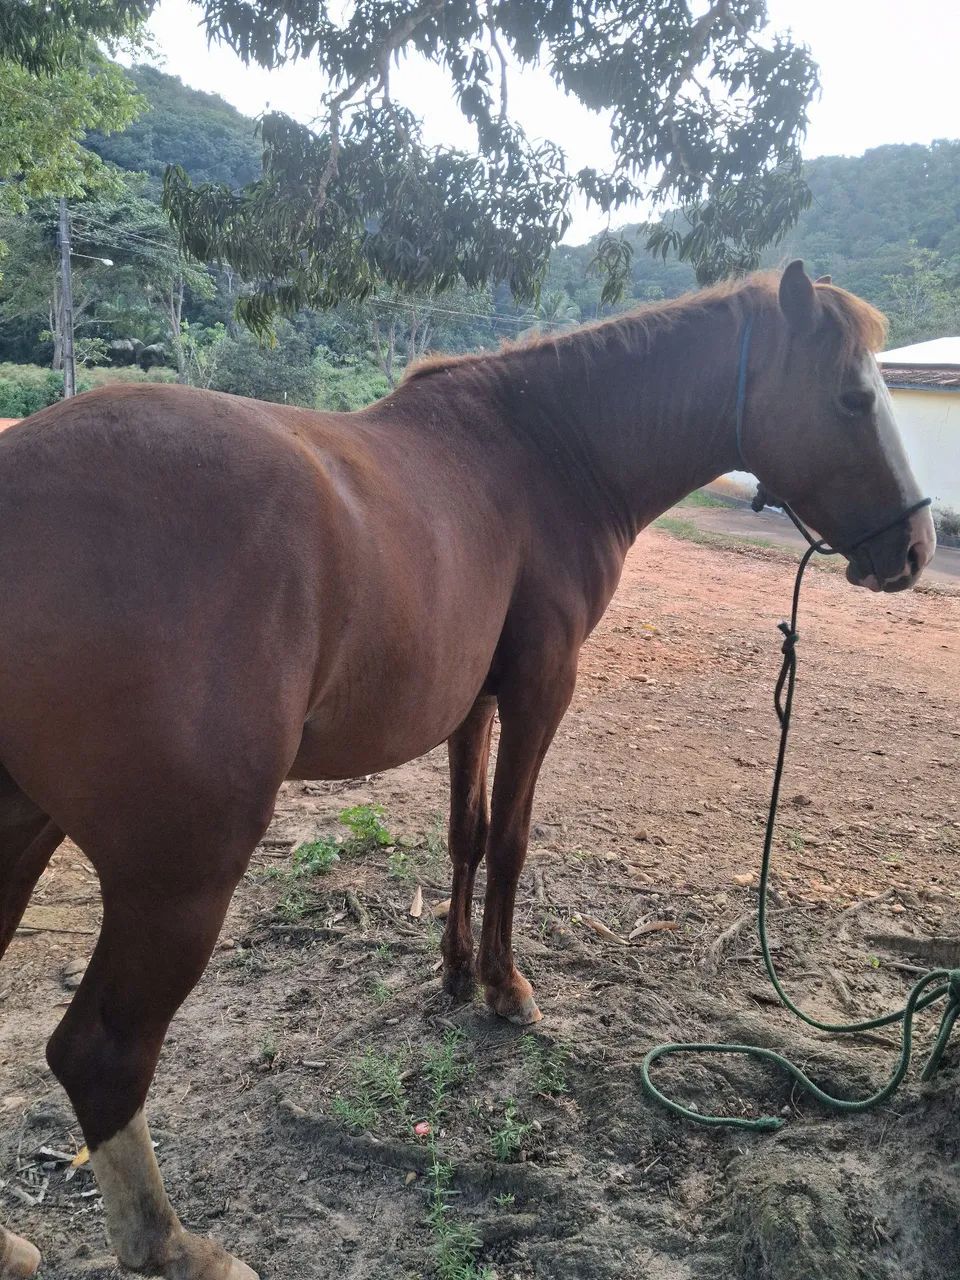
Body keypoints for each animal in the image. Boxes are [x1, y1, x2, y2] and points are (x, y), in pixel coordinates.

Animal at [0, 261, 935, 1280]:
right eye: (852, 398)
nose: (915, 549)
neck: (546, 452)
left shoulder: (472, 705)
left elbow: (467, 835)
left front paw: (454, 970)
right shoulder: (539, 690)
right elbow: (513, 840)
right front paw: (504, 987)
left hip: (22, 827)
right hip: (179, 872)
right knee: (101, 1053)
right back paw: (171, 1246)